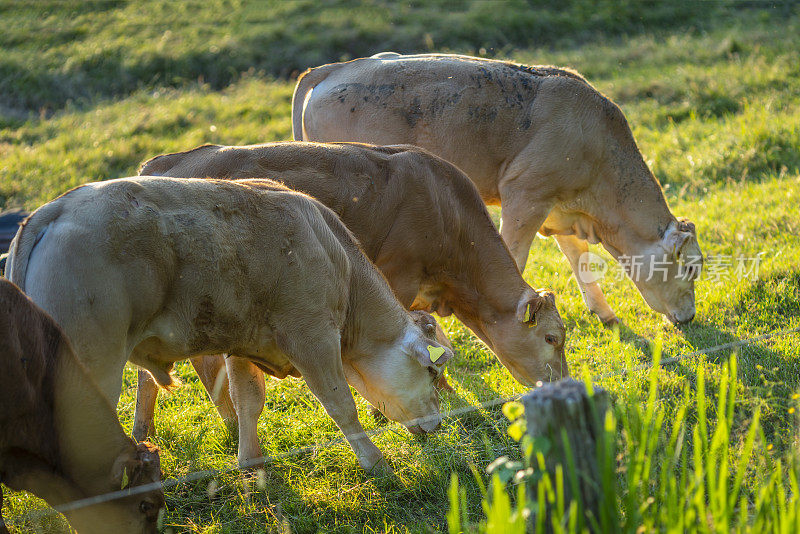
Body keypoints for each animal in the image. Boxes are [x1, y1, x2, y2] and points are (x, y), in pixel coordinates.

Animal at [6, 177, 454, 474]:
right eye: (433, 373)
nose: (437, 423)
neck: (334, 253)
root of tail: (53, 210)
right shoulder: (312, 337)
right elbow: (340, 403)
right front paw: (377, 463)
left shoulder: (243, 343)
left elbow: (247, 400)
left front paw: (250, 461)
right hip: (91, 367)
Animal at [290, 54, 704, 328]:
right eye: (690, 267)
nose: (690, 316)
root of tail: (334, 68)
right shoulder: (526, 195)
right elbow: (515, 257)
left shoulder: (560, 208)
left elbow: (580, 260)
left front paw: (605, 314)